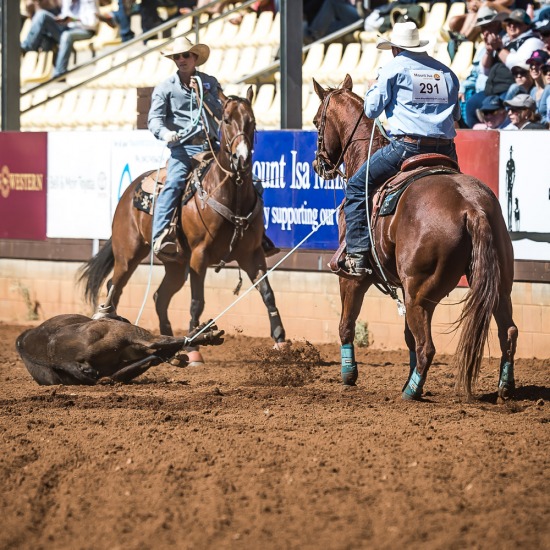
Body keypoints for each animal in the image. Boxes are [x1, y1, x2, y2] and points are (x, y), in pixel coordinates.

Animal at [80, 88, 286, 360]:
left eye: (251, 121)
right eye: (226, 120)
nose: (241, 158)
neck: (227, 194)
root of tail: (128, 193)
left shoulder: (252, 254)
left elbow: (268, 293)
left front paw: (281, 340)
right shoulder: (199, 256)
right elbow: (197, 301)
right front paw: (195, 346)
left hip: (176, 265)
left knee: (159, 296)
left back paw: (168, 340)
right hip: (128, 254)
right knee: (116, 285)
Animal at [312, 75, 520, 404]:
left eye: (316, 120)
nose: (319, 164)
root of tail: (472, 207)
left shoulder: (353, 277)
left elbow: (346, 325)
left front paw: (348, 375)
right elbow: (407, 337)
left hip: (420, 291)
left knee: (427, 346)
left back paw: (412, 391)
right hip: (496, 283)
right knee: (507, 331)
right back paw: (505, 387)